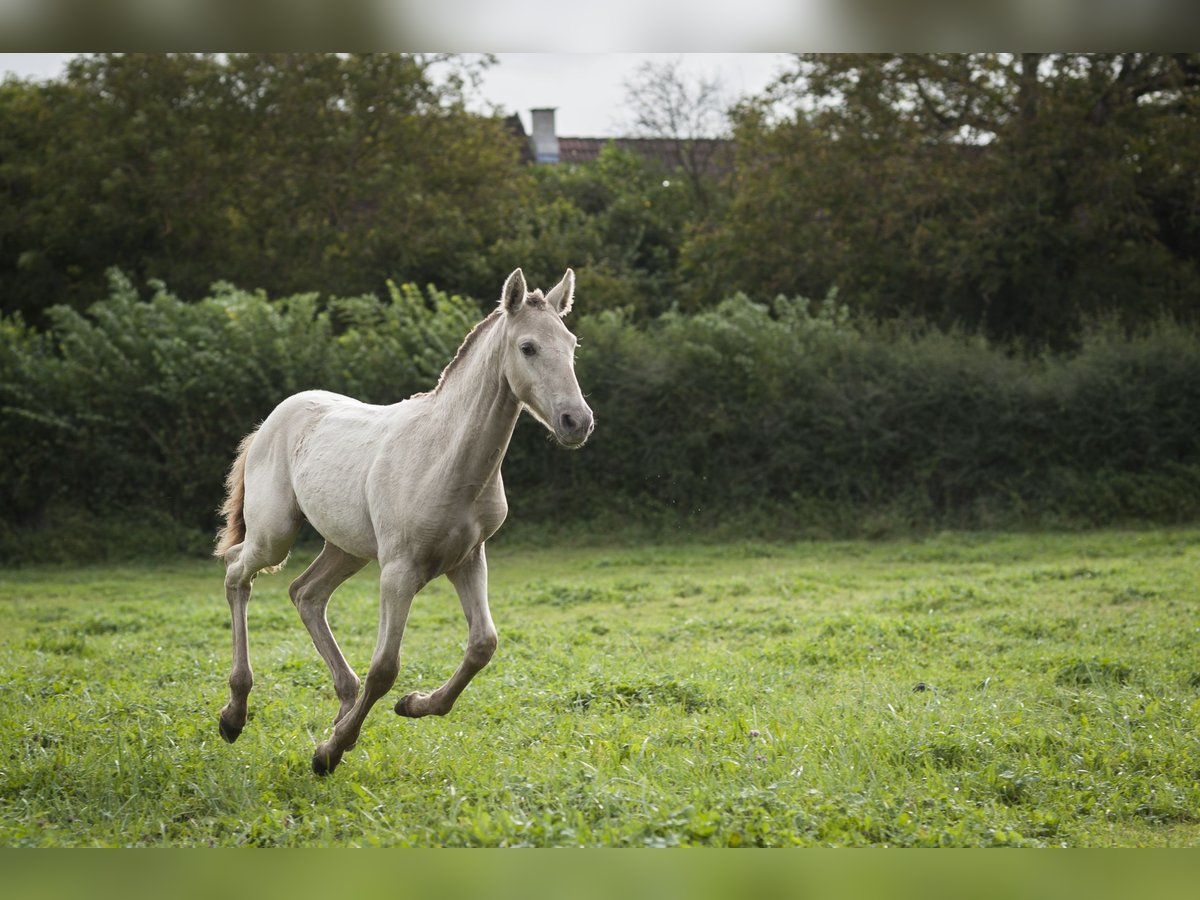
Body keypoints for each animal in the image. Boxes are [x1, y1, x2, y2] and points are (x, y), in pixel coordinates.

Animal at [214, 267, 595, 777]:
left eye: (571, 344)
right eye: (528, 347)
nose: (577, 421)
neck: (446, 457)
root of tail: (271, 421)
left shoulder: (468, 559)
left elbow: (483, 644)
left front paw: (412, 706)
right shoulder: (399, 569)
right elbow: (385, 667)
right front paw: (329, 752)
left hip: (348, 547)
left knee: (306, 593)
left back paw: (343, 703)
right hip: (275, 533)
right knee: (238, 572)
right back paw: (235, 714)